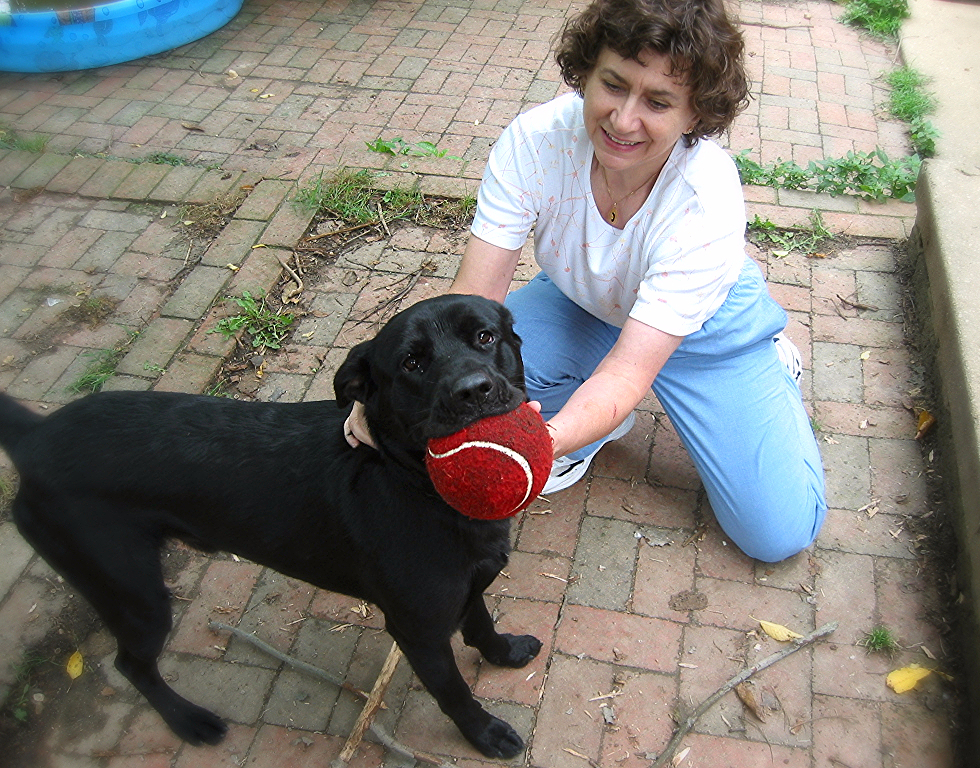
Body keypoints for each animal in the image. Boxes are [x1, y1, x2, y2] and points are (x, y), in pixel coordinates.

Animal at [0, 292, 544, 756]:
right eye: (412, 363)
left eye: (485, 337)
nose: (473, 391)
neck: (407, 478)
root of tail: (34, 436)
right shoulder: (419, 633)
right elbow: (454, 693)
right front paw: (485, 733)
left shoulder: (468, 587)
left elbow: (480, 625)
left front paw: (504, 651)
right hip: (135, 595)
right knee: (130, 664)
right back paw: (189, 721)